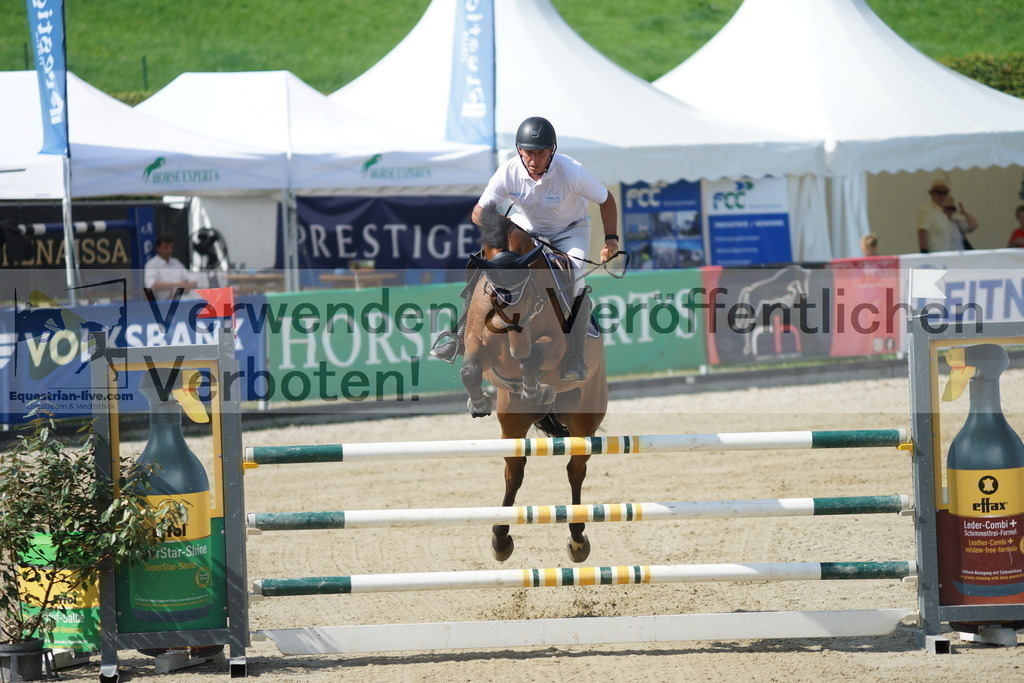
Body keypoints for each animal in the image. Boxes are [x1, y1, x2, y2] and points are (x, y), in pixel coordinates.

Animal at [458, 205, 606, 565]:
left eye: (525, 292)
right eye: (491, 292)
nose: (510, 333)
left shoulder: (551, 345)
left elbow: (535, 357)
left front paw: (532, 384)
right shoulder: (476, 342)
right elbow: (470, 368)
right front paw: (478, 402)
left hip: (585, 416)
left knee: (576, 468)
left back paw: (577, 540)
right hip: (512, 419)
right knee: (515, 470)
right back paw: (500, 538)